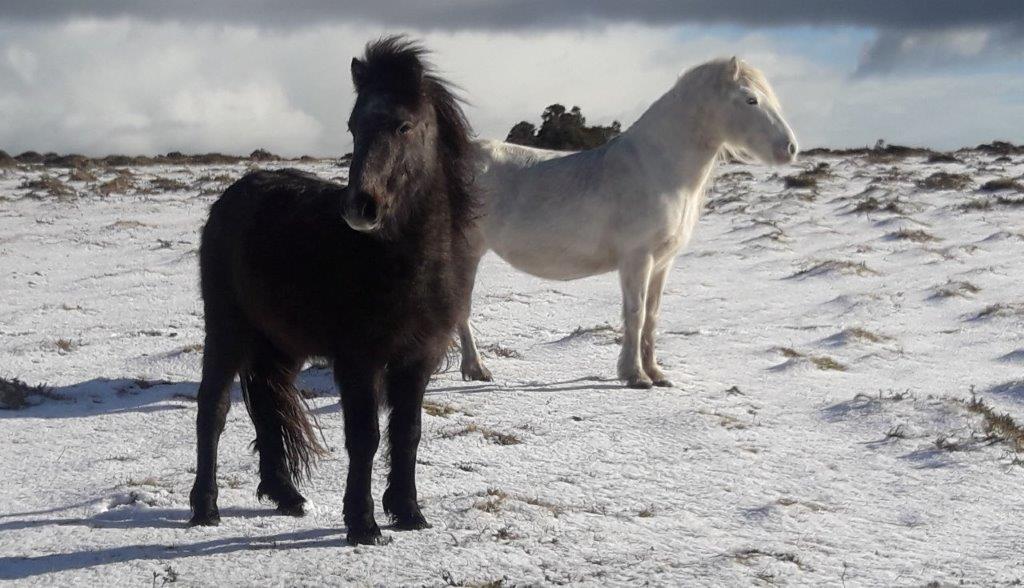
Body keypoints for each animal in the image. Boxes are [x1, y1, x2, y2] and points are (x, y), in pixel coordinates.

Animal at [188, 37, 477, 546]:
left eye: (404, 125)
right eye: (353, 126)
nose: (361, 208)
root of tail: (232, 197)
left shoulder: (418, 358)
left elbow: (408, 433)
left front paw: (409, 512)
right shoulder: (360, 360)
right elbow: (365, 437)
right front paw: (363, 524)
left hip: (279, 345)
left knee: (267, 405)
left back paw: (286, 496)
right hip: (226, 331)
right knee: (214, 410)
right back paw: (206, 508)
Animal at [458, 57, 798, 388]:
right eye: (751, 100)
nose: (790, 148)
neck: (657, 168)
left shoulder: (662, 263)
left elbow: (652, 315)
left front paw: (656, 373)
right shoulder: (637, 258)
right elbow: (635, 313)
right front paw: (636, 376)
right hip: (466, 251)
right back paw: (477, 368)